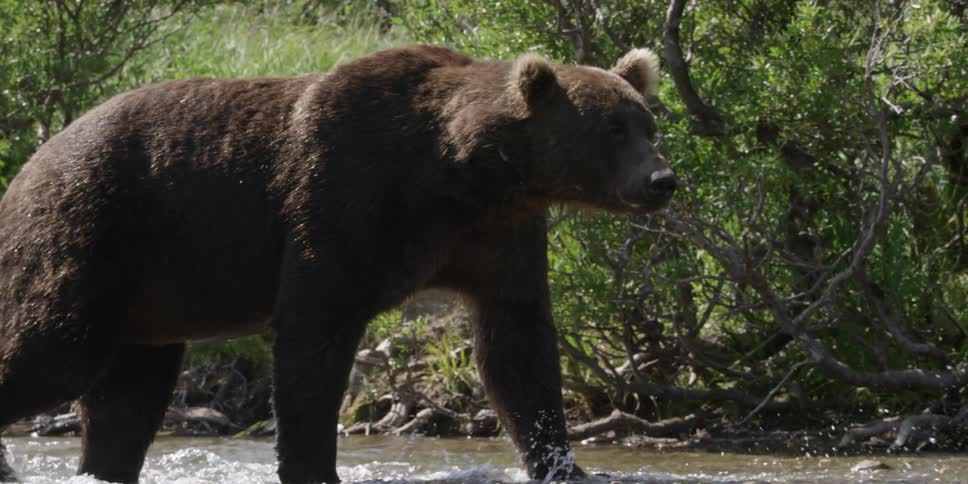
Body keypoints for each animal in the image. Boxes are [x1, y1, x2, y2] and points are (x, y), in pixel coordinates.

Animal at [0, 45, 675, 483]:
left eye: (648, 124)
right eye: (613, 129)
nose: (662, 180)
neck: (455, 172)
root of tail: (30, 161)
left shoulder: (496, 237)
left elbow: (518, 346)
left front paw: (564, 465)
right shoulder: (340, 198)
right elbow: (313, 336)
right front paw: (311, 467)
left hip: (154, 292)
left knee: (128, 394)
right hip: (90, 231)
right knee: (53, 348)